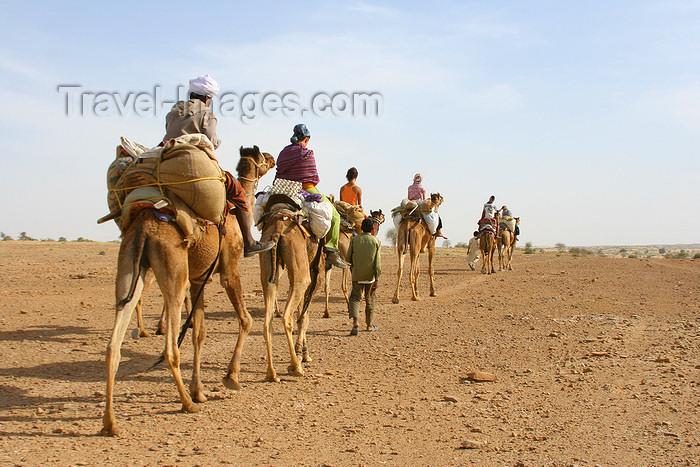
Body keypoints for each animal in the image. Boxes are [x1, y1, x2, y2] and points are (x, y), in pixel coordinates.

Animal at [100, 147, 274, 438]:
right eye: (263, 157)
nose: (273, 159)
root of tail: (144, 229)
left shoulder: (197, 279)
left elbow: (199, 334)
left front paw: (199, 390)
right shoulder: (228, 269)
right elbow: (245, 320)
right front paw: (231, 377)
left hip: (130, 265)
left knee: (114, 344)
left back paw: (110, 422)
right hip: (174, 270)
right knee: (171, 347)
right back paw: (186, 403)